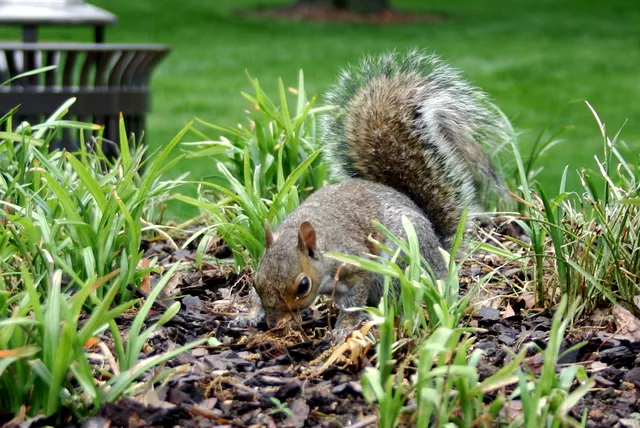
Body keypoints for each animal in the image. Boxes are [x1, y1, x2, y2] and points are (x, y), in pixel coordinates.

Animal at [247, 49, 509, 341]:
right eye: (255, 281)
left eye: (303, 285)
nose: (274, 323)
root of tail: (438, 256)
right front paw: (253, 313)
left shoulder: (355, 264)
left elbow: (354, 299)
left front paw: (344, 328)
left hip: (397, 260)